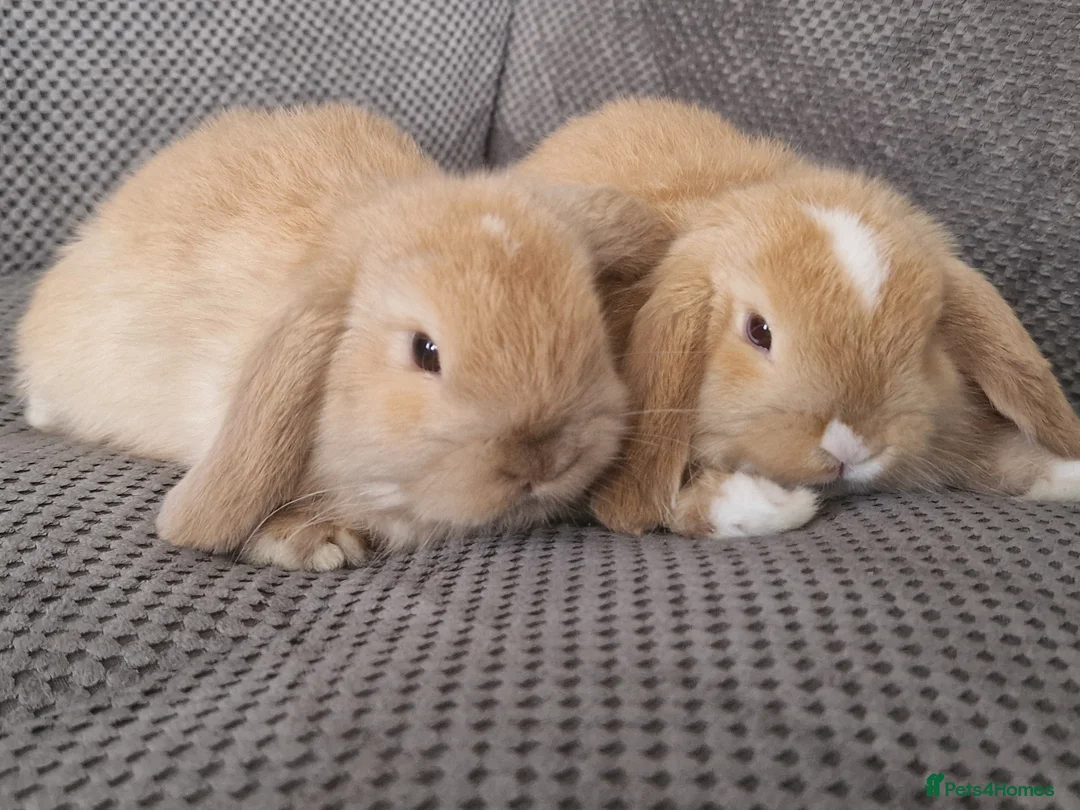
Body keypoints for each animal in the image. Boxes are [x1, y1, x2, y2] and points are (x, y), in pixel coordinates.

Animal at [516, 96, 1080, 540]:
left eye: (925, 341)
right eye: (758, 331)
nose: (852, 445)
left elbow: (996, 455)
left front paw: (1067, 471)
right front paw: (775, 502)